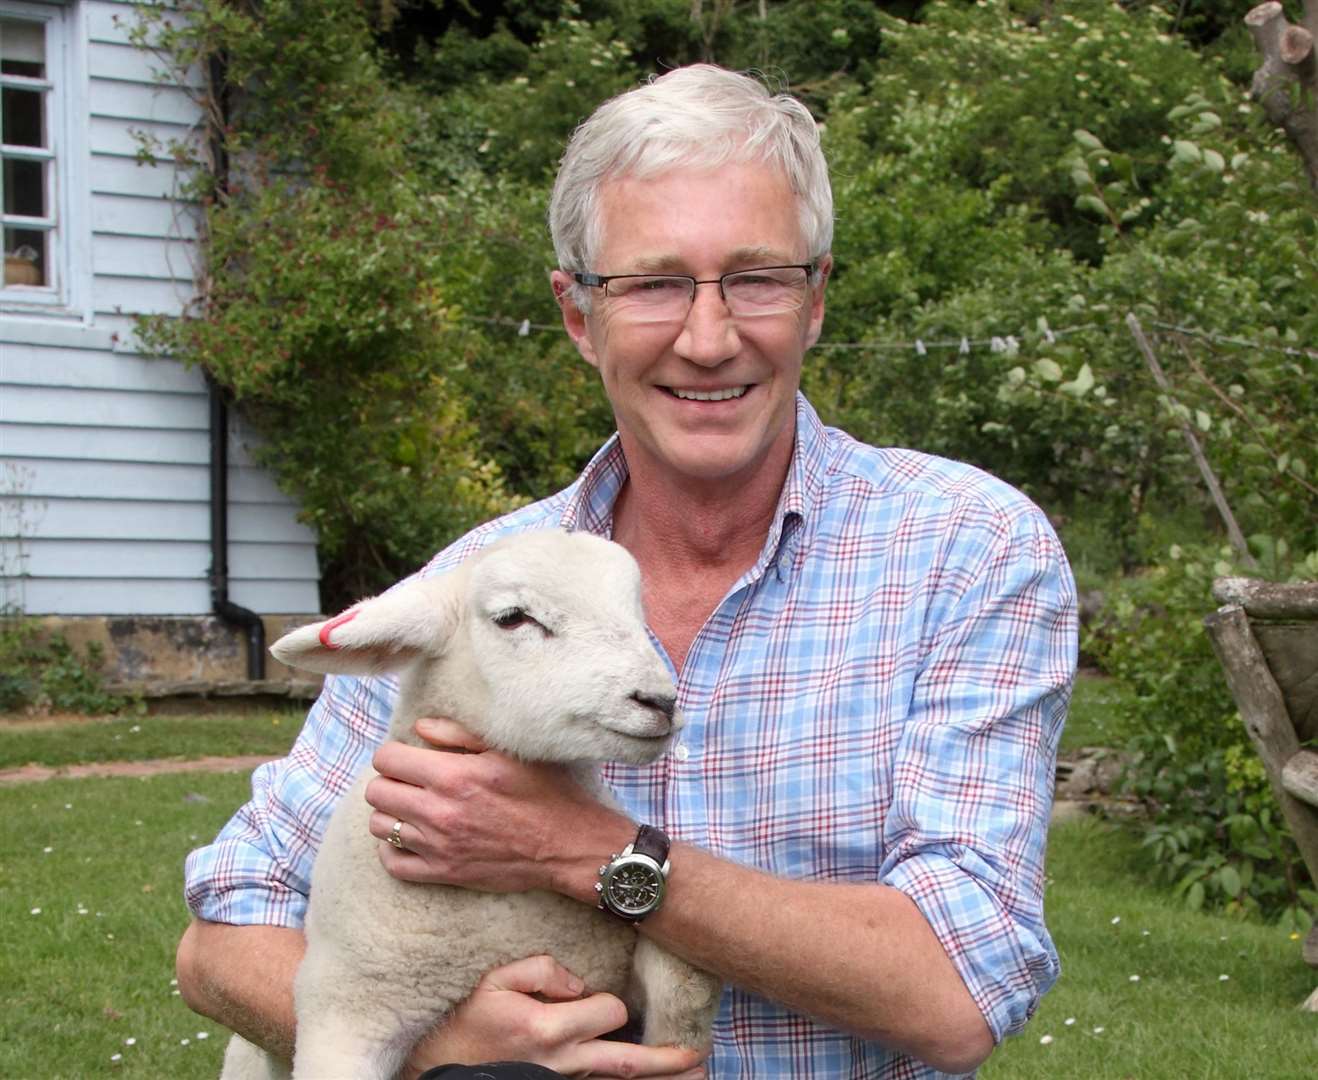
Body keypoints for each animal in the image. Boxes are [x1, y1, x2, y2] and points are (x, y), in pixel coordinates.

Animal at [221, 532, 727, 1080]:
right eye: (513, 617)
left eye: (637, 612)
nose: (659, 702)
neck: (506, 913)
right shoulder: (346, 1019)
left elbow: (680, 990)